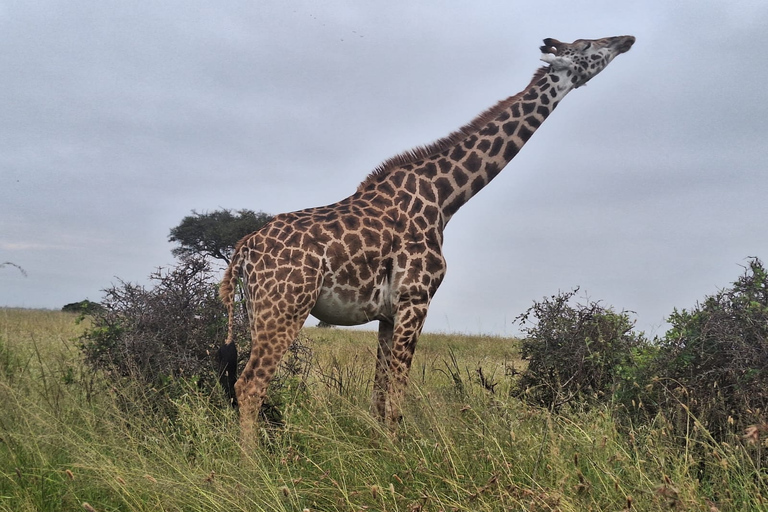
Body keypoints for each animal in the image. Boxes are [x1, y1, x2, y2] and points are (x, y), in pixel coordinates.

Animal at [220, 35, 636, 436]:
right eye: (586, 46)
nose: (627, 39)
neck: (444, 197)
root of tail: (243, 250)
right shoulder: (416, 299)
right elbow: (396, 398)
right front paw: (397, 451)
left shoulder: (388, 314)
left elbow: (378, 396)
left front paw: (381, 449)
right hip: (285, 307)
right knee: (250, 385)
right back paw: (252, 460)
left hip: (256, 311)